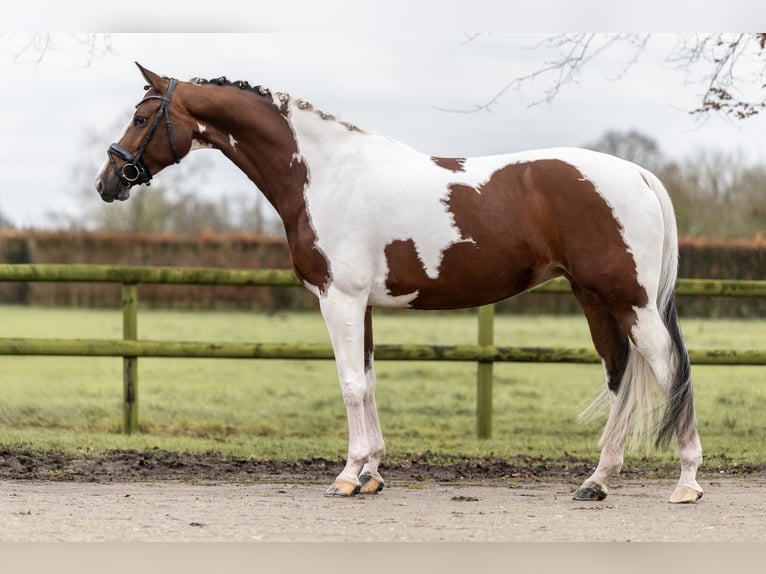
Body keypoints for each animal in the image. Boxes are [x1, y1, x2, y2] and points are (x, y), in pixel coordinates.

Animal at [93, 63, 704, 504]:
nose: (108, 181)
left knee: (670, 368)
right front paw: (371, 474)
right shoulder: (359, 305)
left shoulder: (338, 300)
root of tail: (637, 173)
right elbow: (367, 381)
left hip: (631, 302)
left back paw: (687, 483)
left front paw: (346, 475)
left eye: (143, 117)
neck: (323, 173)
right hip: (595, 300)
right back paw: (596, 481)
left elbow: (349, 385)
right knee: (620, 376)